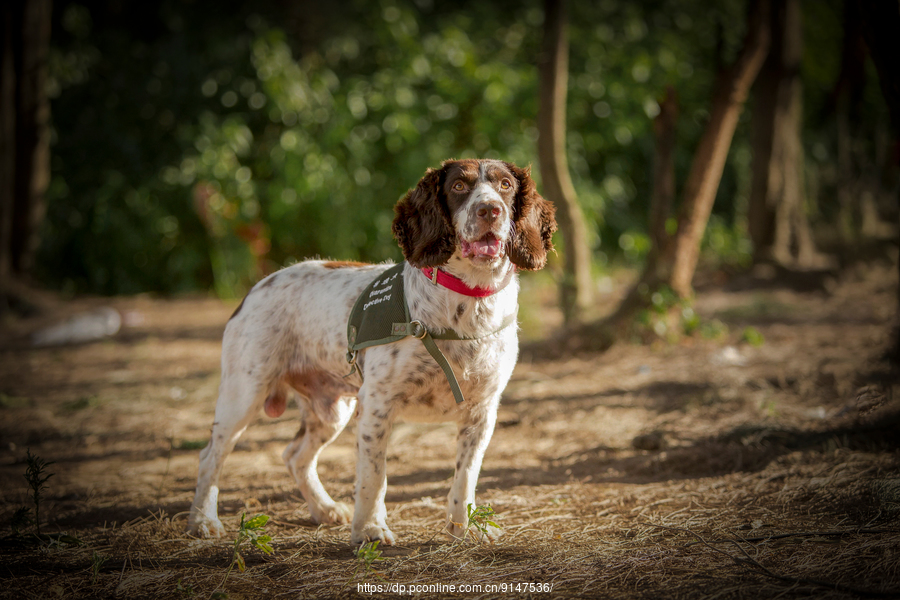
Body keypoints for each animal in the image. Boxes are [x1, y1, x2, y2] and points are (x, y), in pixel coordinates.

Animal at [186, 158, 556, 544]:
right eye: (458, 186)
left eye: (505, 185)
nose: (490, 210)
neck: (467, 304)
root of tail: (255, 288)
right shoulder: (378, 403)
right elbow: (374, 475)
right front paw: (369, 529)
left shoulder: (482, 411)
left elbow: (465, 475)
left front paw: (464, 528)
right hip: (244, 393)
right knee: (210, 456)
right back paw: (203, 520)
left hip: (332, 409)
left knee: (294, 455)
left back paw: (324, 509)